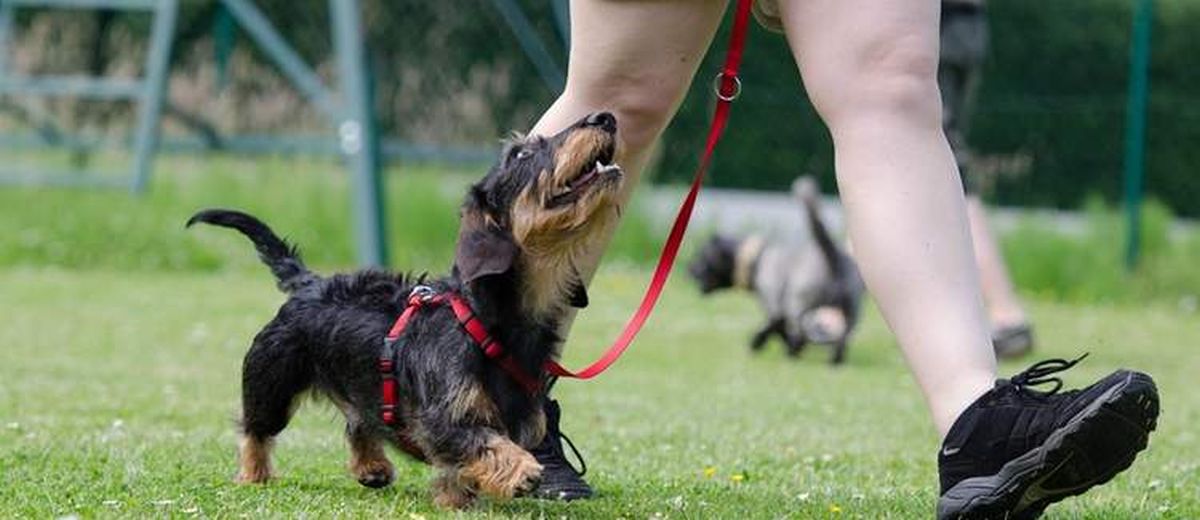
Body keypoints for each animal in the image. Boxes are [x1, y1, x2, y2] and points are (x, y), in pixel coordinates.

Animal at [187, 110, 624, 506]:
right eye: (521, 154)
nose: (604, 117)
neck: (488, 319)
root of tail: (309, 283)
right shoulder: (443, 418)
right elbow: (482, 442)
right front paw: (520, 470)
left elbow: (461, 465)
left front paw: (455, 498)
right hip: (271, 382)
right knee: (254, 430)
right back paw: (253, 474)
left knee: (358, 422)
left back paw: (372, 467)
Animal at [686, 176, 864, 362]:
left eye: (701, 257)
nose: (687, 269)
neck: (757, 259)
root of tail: (832, 253)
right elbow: (778, 328)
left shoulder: (774, 304)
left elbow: (775, 327)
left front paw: (758, 342)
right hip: (851, 311)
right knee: (841, 338)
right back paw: (832, 360)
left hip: (799, 304)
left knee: (802, 331)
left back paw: (793, 352)